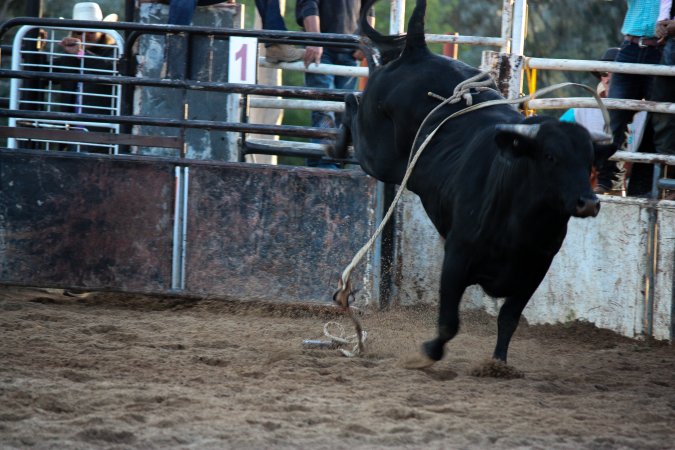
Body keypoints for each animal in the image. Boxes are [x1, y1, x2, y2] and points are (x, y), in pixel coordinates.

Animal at [332, 0, 612, 369]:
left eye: (590, 161)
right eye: (551, 157)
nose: (588, 202)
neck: (521, 217)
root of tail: (418, 51)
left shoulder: (535, 270)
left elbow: (509, 318)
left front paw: (498, 364)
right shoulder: (456, 257)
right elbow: (449, 322)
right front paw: (429, 352)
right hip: (376, 154)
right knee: (350, 104)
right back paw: (335, 146)